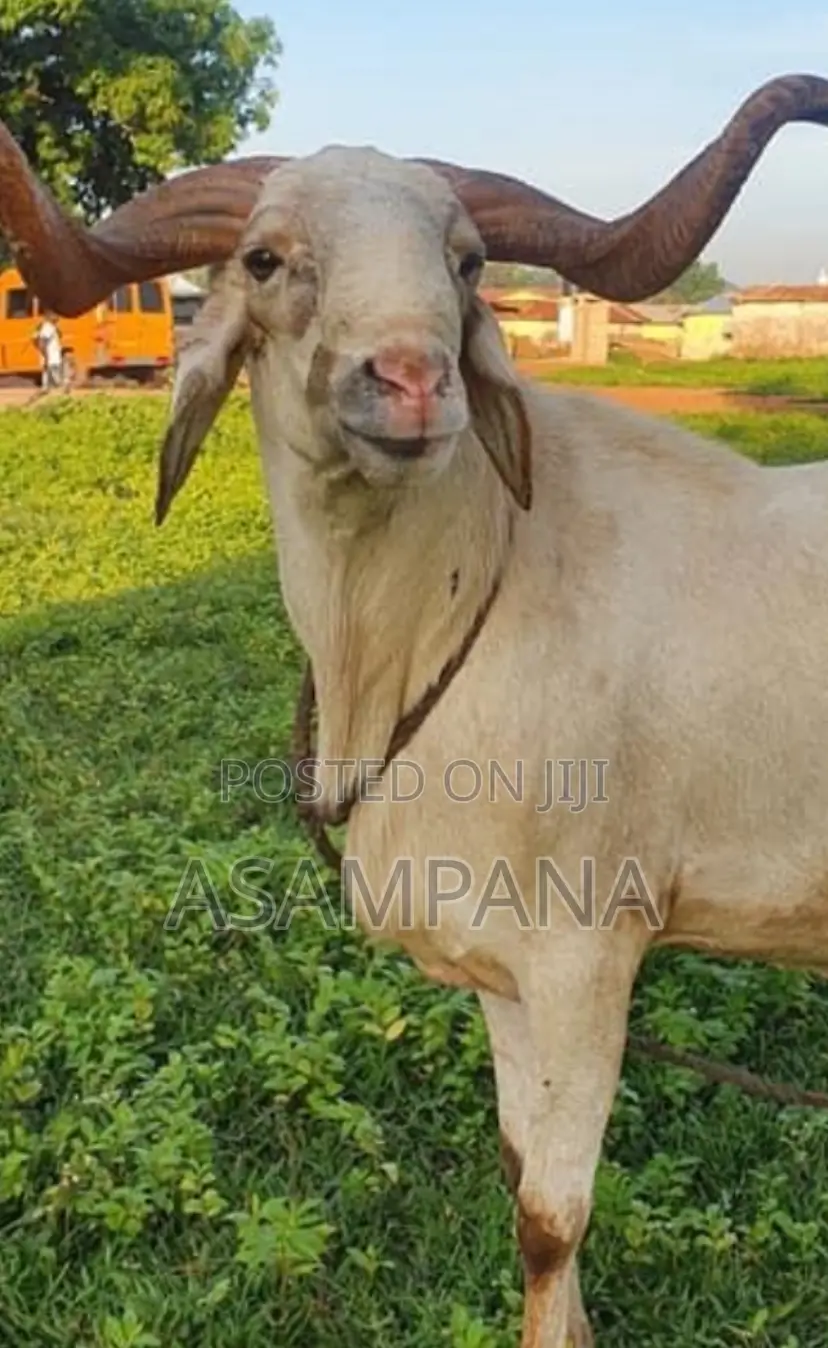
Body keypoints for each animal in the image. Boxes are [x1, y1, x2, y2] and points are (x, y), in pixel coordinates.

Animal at [5, 72, 828, 1348]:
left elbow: (551, 1217)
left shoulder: (590, 958)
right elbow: (519, 1176)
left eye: (467, 259)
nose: (408, 381)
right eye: (264, 258)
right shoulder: (503, 974)